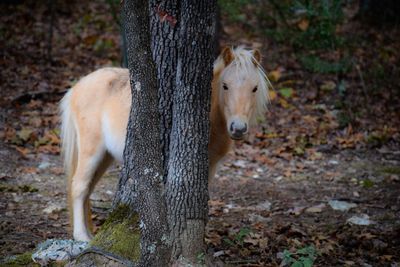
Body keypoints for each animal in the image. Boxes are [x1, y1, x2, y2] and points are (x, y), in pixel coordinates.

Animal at [60, 46, 268, 243]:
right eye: (225, 86)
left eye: (254, 88)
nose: (238, 128)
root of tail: (77, 88)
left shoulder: (210, 166)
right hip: (91, 151)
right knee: (79, 186)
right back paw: (82, 236)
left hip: (105, 157)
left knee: (87, 190)